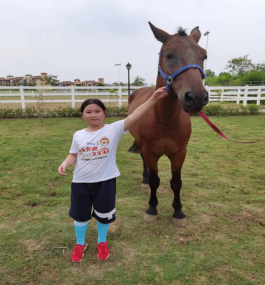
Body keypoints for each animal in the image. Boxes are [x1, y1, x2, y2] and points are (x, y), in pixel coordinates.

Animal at [128, 22, 208, 225]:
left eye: (204, 56)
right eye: (169, 55)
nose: (196, 97)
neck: (165, 119)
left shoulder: (179, 153)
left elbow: (176, 183)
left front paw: (178, 212)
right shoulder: (150, 152)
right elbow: (155, 181)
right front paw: (151, 209)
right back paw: (144, 179)